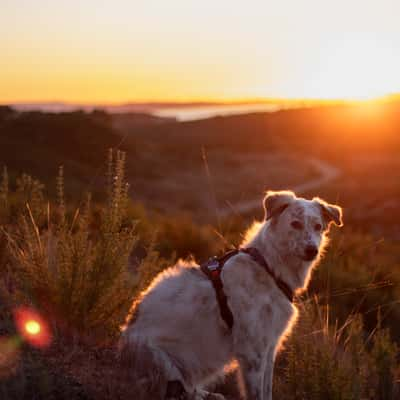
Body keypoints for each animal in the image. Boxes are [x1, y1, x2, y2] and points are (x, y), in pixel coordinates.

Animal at [119, 191, 344, 400]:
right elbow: (257, 393)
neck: (267, 266)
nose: (312, 250)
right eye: (295, 224)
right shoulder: (252, 352)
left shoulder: (269, 346)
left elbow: (267, 390)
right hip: (161, 360)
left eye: (318, 226)